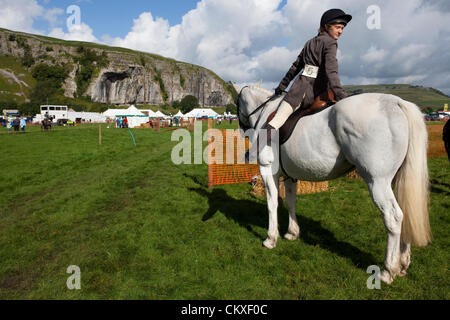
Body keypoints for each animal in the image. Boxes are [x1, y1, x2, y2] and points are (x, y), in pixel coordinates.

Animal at [234, 84, 430, 284]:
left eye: (237, 103)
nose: (242, 130)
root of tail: (396, 102)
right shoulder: (290, 177)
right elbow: (290, 202)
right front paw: (292, 233)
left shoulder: (268, 171)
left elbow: (272, 203)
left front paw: (271, 238)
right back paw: (403, 263)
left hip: (377, 182)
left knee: (393, 217)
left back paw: (388, 270)